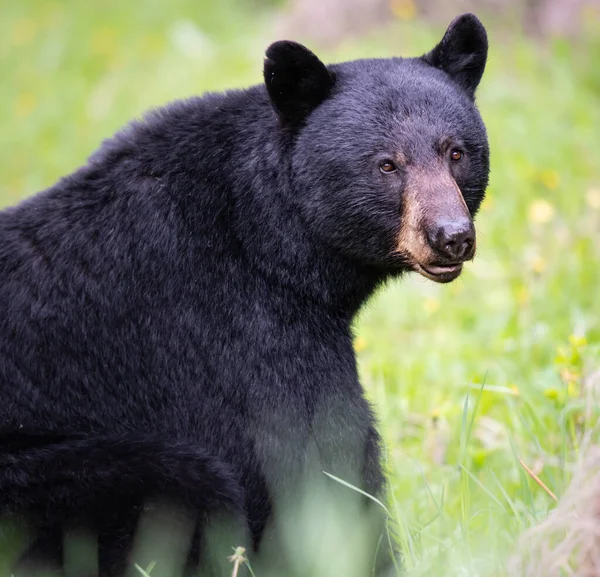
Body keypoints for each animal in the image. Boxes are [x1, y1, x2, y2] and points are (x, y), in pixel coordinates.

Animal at [0, 10, 488, 576]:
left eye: (457, 152)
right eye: (386, 164)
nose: (451, 235)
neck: (262, 234)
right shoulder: (241, 328)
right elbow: (318, 457)